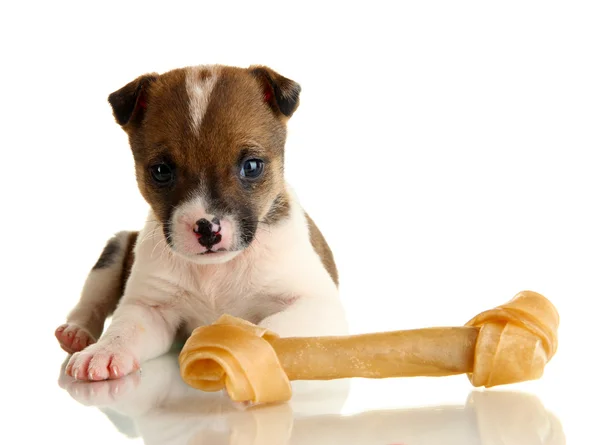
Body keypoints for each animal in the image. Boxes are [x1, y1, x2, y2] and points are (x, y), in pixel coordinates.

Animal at [57, 64, 346, 380]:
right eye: (161, 171)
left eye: (252, 166)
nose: (207, 228)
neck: (216, 271)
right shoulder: (150, 309)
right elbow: (125, 329)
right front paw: (104, 351)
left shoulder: (315, 304)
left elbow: (266, 330)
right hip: (115, 250)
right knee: (92, 302)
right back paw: (76, 332)